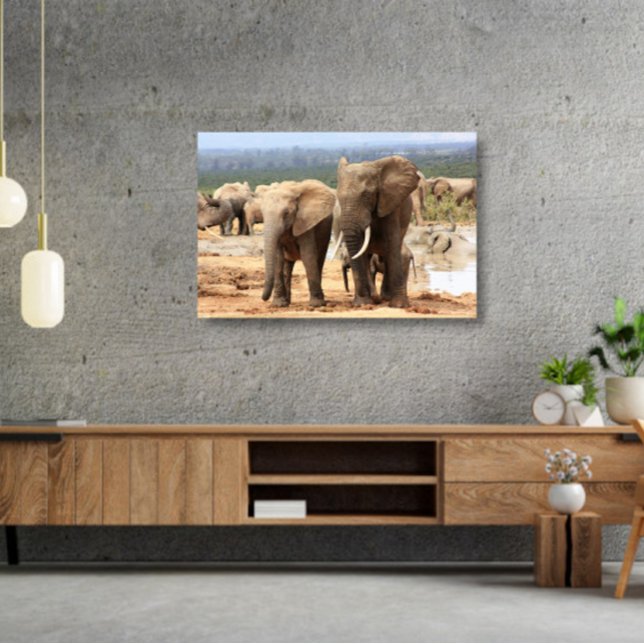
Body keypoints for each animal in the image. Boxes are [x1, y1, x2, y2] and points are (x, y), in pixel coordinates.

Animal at [335, 155, 419, 307]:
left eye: (367, 195)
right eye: (338, 197)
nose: (374, 298)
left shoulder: (390, 204)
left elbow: (392, 245)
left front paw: (399, 305)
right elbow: (361, 253)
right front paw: (363, 303)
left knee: (390, 254)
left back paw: (386, 297)